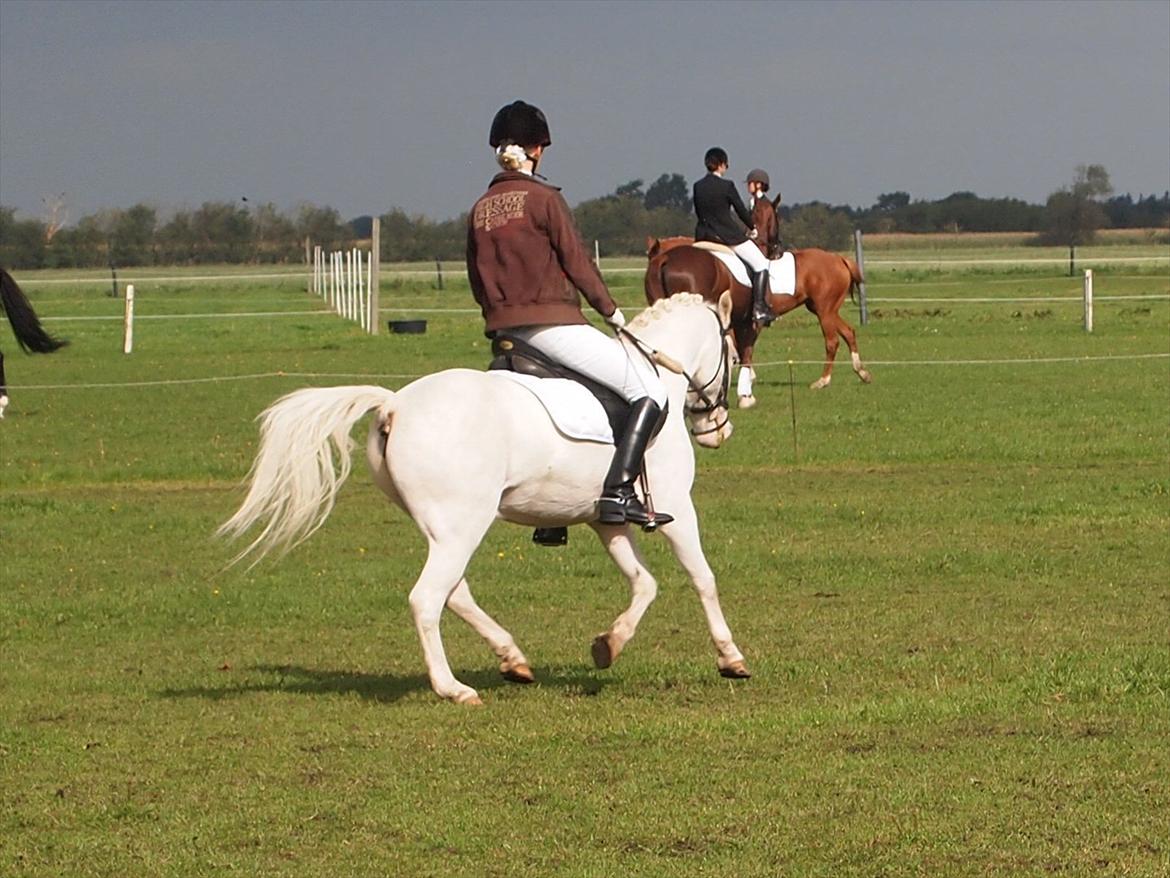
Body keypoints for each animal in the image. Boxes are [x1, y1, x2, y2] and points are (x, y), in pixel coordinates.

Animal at [219, 292, 748, 707]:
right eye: (731, 350)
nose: (718, 430)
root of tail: (394, 404)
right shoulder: (677, 506)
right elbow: (703, 578)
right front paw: (731, 658)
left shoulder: (606, 518)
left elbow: (644, 584)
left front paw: (608, 645)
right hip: (463, 523)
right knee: (428, 598)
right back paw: (454, 688)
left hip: (447, 526)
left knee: (454, 591)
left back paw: (513, 660)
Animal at [645, 238, 875, 407]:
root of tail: (838, 259)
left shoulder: (744, 321)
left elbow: (742, 348)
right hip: (824, 310)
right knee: (848, 332)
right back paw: (861, 372)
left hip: (824, 310)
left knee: (832, 341)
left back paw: (823, 381)